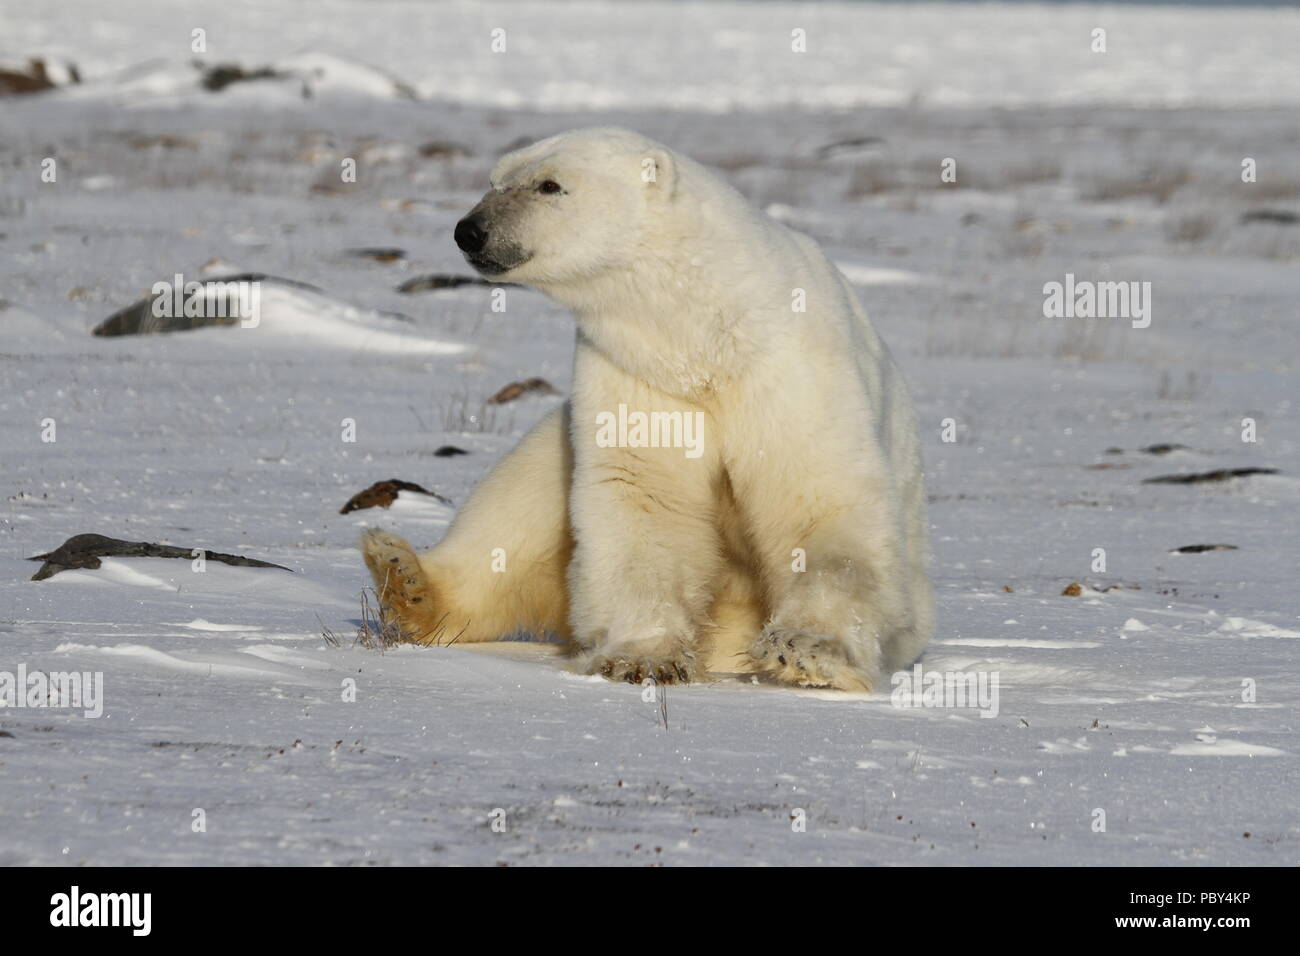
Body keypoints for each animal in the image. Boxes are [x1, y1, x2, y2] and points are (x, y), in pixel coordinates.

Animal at [364, 130, 935, 691]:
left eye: (549, 185)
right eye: (494, 179)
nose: (469, 231)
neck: (705, 330)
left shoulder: (789, 361)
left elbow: (818, 498)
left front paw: (807, 650)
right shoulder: (635, 368)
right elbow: (644, 491)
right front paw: (642, 658)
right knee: (520, 496)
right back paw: (403, 575)